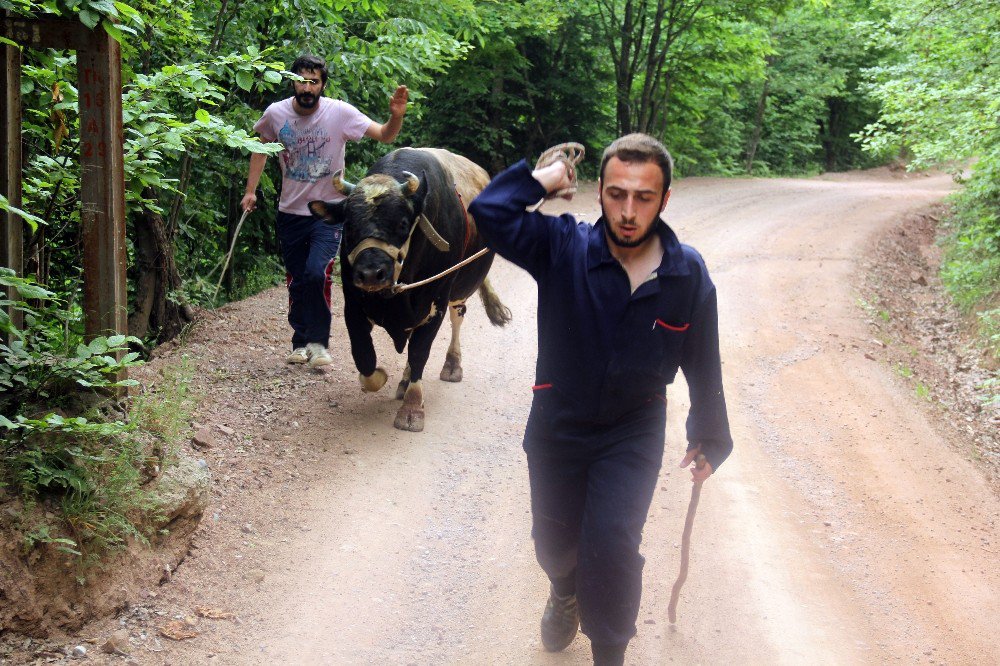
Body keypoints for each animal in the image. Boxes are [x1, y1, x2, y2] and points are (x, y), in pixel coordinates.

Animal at [308, 147, 512, 430]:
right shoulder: (354, 306)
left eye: (403, 224)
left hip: (459, 290)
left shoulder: (435, 304)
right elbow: (363, 355)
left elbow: (419, 352)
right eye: (348, 225)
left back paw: (452, 365)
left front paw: (413, 407)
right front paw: (379, 378)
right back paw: (404, 382)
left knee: (457, 318)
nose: (371, 273)